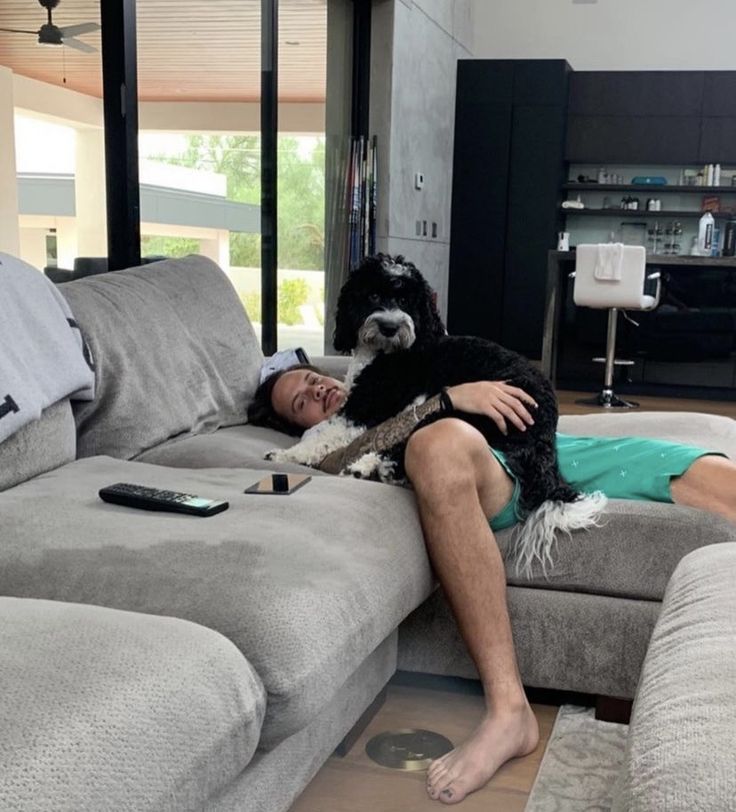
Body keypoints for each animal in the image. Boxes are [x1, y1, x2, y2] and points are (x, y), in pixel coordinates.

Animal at [266, 256, 604, 576]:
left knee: (405, 447)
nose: (390, 327)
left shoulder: (367, 403)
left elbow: (325, 432)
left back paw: (367, 467)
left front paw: (287, 454)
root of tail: (546, 428)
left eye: (405, 301)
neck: (386, 353)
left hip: (461, 414)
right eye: (373, 294)